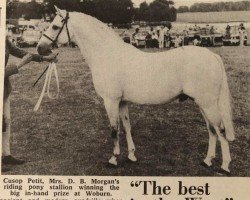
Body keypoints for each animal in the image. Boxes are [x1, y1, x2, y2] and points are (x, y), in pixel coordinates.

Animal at [36, 7, 234, 174]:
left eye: (55, 26)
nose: (40, 48)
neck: (108, 55)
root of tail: (213, 56)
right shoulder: (122, 101)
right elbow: (127, 127)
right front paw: (131, 155)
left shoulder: (111, 100)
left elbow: (114, 129)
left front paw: (114, 158)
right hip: (202, 103)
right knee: (211, 129)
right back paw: (207, 161)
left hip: (207, 103)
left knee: (220, 130)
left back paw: (224, 166)